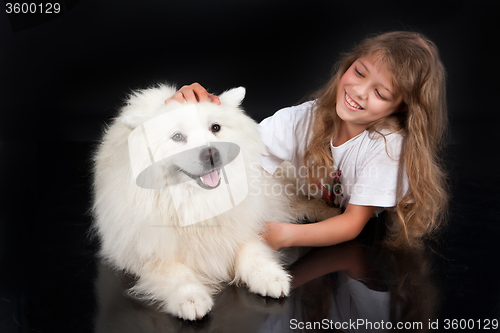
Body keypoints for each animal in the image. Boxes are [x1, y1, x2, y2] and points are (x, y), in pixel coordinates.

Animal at [92, 84, 338, 320]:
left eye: (215, 128)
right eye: (177, 137)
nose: (211, 154)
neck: (197, 201)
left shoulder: (243, 225)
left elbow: (252, 250)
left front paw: (269, 275)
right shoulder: (147, 252)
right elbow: (176, 274)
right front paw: (191, 298)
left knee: (302, 203)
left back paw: (331, 213)